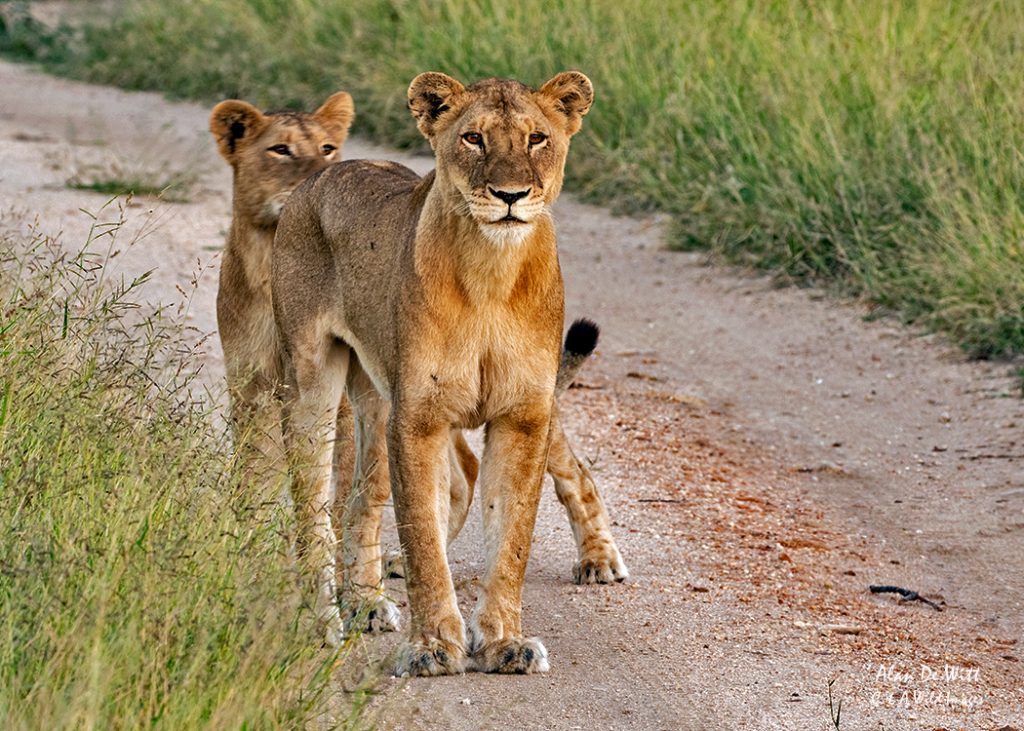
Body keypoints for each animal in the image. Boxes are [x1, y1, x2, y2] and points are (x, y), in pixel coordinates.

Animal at [272, 71, 618, 675]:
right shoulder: (418, 418)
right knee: (316, 499)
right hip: (314, 383)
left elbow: (511, 536)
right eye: (473, 138)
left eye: (537, 139)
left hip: (379, 396)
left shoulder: (523, 414)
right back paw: (323, 619)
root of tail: (321, 175)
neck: (491, 273)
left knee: (369, 498)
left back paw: (366, 603)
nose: (510, 196)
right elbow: (423, 540)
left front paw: (504, 643)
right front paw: (433, 646)